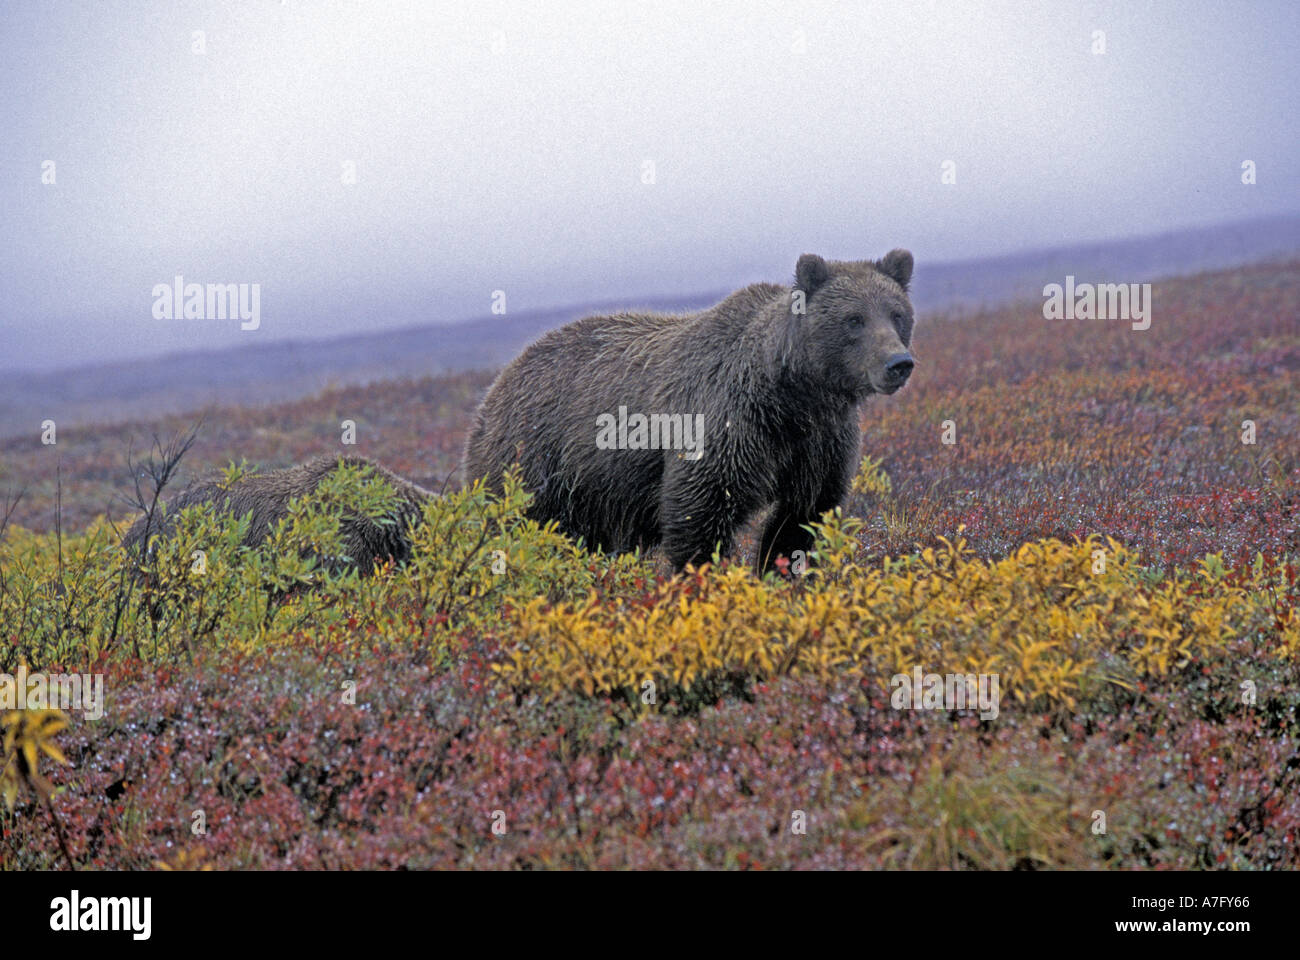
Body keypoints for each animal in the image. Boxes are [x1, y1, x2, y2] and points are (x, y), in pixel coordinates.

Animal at [463, 249, 917, 573]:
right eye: (854, 319)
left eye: (897, 314)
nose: (898, 363)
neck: (792, 395)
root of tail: (494, 389)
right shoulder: (728, 422)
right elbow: (700, 512)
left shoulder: (820, 440)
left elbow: (802, 515)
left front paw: (782, 574)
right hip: (534, 463)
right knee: (525, 529)